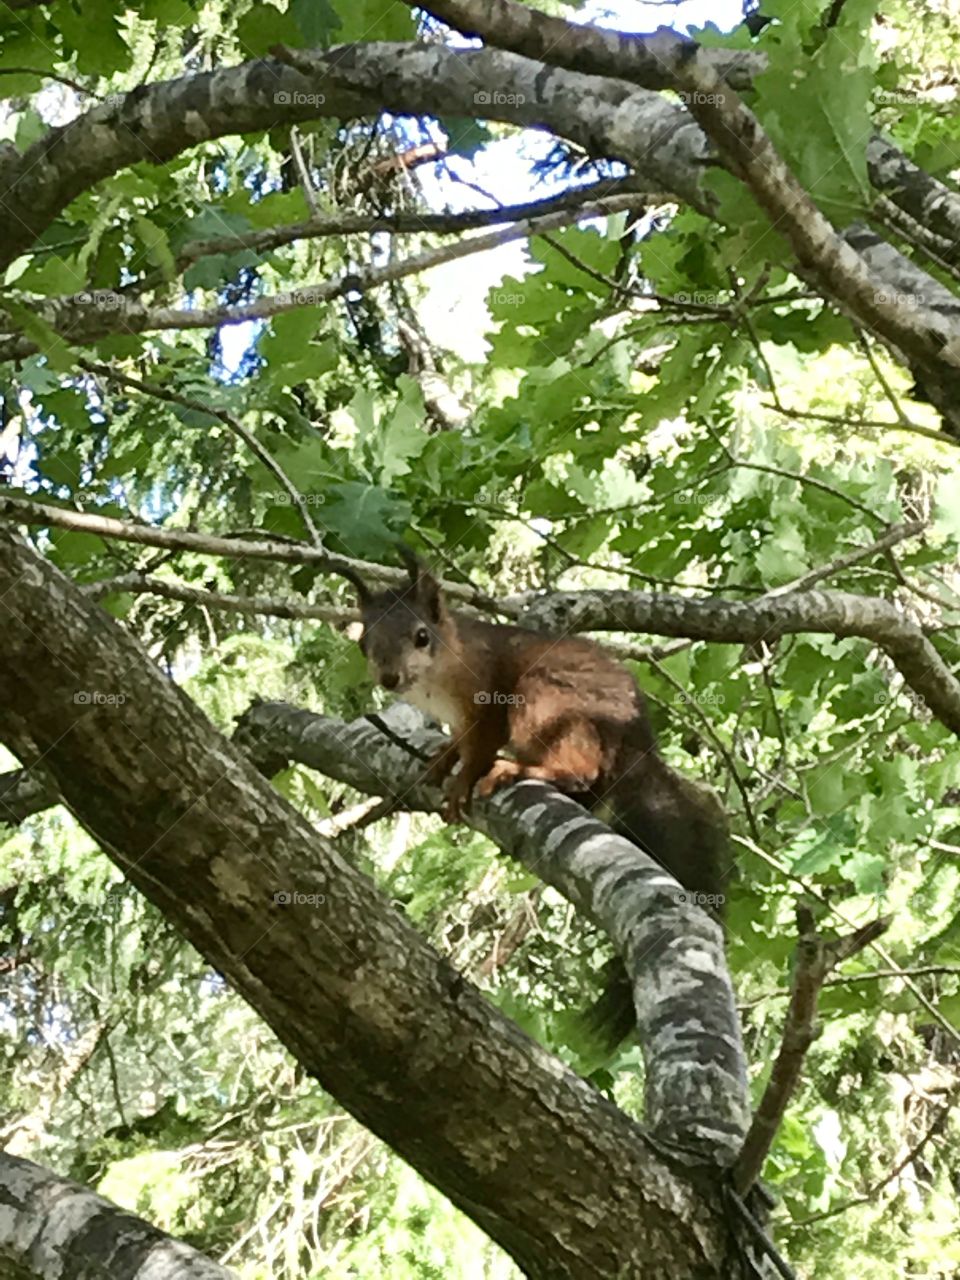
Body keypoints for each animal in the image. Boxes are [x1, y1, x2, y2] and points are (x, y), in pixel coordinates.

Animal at [335, 548, 730, 1049]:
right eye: (365, 643)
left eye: (421, 636)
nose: (389, 678)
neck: (442, 674)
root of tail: (636, 744)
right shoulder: (457, 718)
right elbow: (458, 743)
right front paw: (440, 761)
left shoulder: (487, 699)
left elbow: (479, 747)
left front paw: (462, 782)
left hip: (545, 704)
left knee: (580, 769)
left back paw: (518, 769)